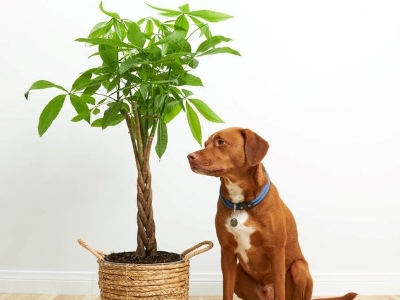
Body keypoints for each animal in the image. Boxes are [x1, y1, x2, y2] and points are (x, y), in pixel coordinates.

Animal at [187, 127, 356, 300]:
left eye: (221, 142)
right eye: (205, 144)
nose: (190, 156)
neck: (240, 204)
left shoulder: (276, 253)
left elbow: (280, 291)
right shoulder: (227, 252)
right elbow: (226, 292)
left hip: (299, 267)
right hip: (240, 272)